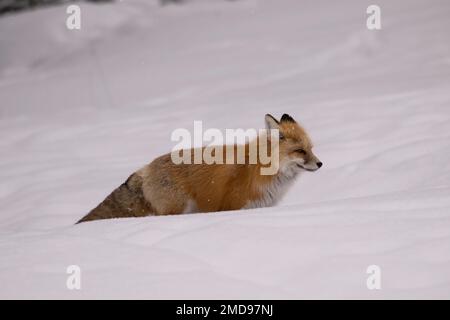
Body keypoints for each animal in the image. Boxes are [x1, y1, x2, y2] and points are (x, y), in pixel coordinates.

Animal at [78, 114, 324, 224]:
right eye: (300, 151)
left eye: (311, 149)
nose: (320, 164)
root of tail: (145, 168)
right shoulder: (234, 206)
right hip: (177, 210)